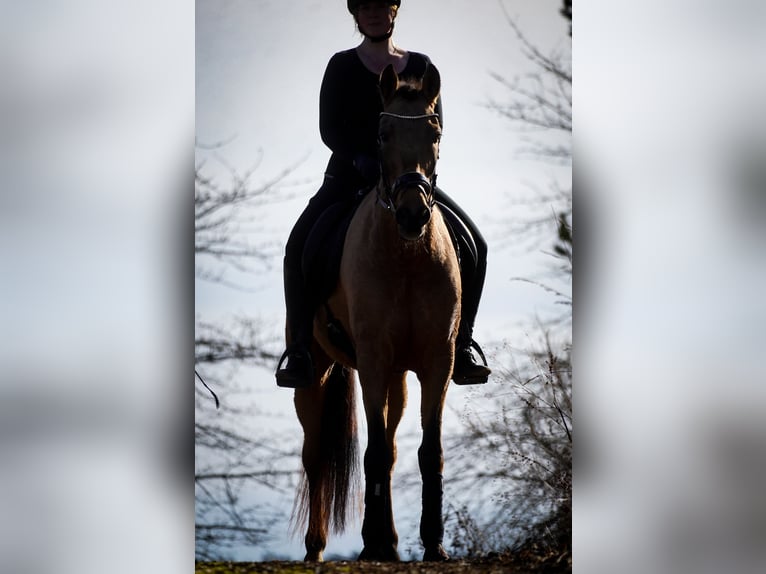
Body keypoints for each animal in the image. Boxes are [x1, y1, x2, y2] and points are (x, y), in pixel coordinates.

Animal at [292, 63, 460, 563]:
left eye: (435, 133)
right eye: (382, 134)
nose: (412, 215)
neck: (405, 256)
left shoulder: (438, 361)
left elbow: (427, 450)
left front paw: (433, 544)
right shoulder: (372, 358)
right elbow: (375, 452)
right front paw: (372, 544)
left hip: (397, 378)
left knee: (391, 441)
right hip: (317, 371)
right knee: (315, 453)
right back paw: (317, 548)